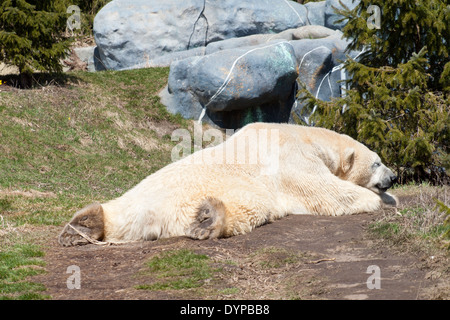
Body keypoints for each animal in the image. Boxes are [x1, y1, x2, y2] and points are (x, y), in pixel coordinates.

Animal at [59, 122, 398, 245]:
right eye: (377, 162)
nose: (394, 176)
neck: (306, 136)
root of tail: (153, 217)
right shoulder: (293, 159)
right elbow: (329, 193)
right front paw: (383, 200)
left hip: (135, 198)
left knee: (118, 212)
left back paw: (82, 225)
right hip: (218, 193)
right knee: (248, 208)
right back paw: (209, 220)